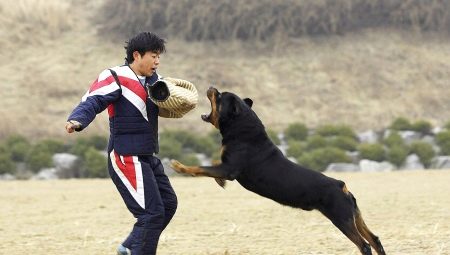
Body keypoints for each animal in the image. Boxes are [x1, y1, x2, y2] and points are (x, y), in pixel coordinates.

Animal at [171, 86, 384, 254]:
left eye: (220, 96)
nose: (212, 87)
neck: (244, 130)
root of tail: (342, 185)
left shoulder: (229, 168)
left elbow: (201, 168)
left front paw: (179, 166)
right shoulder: (225, 166)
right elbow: (212, 164)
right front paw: (218, 181)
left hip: (341, 218)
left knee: (364, 245)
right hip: (354, 216)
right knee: (375, 240)